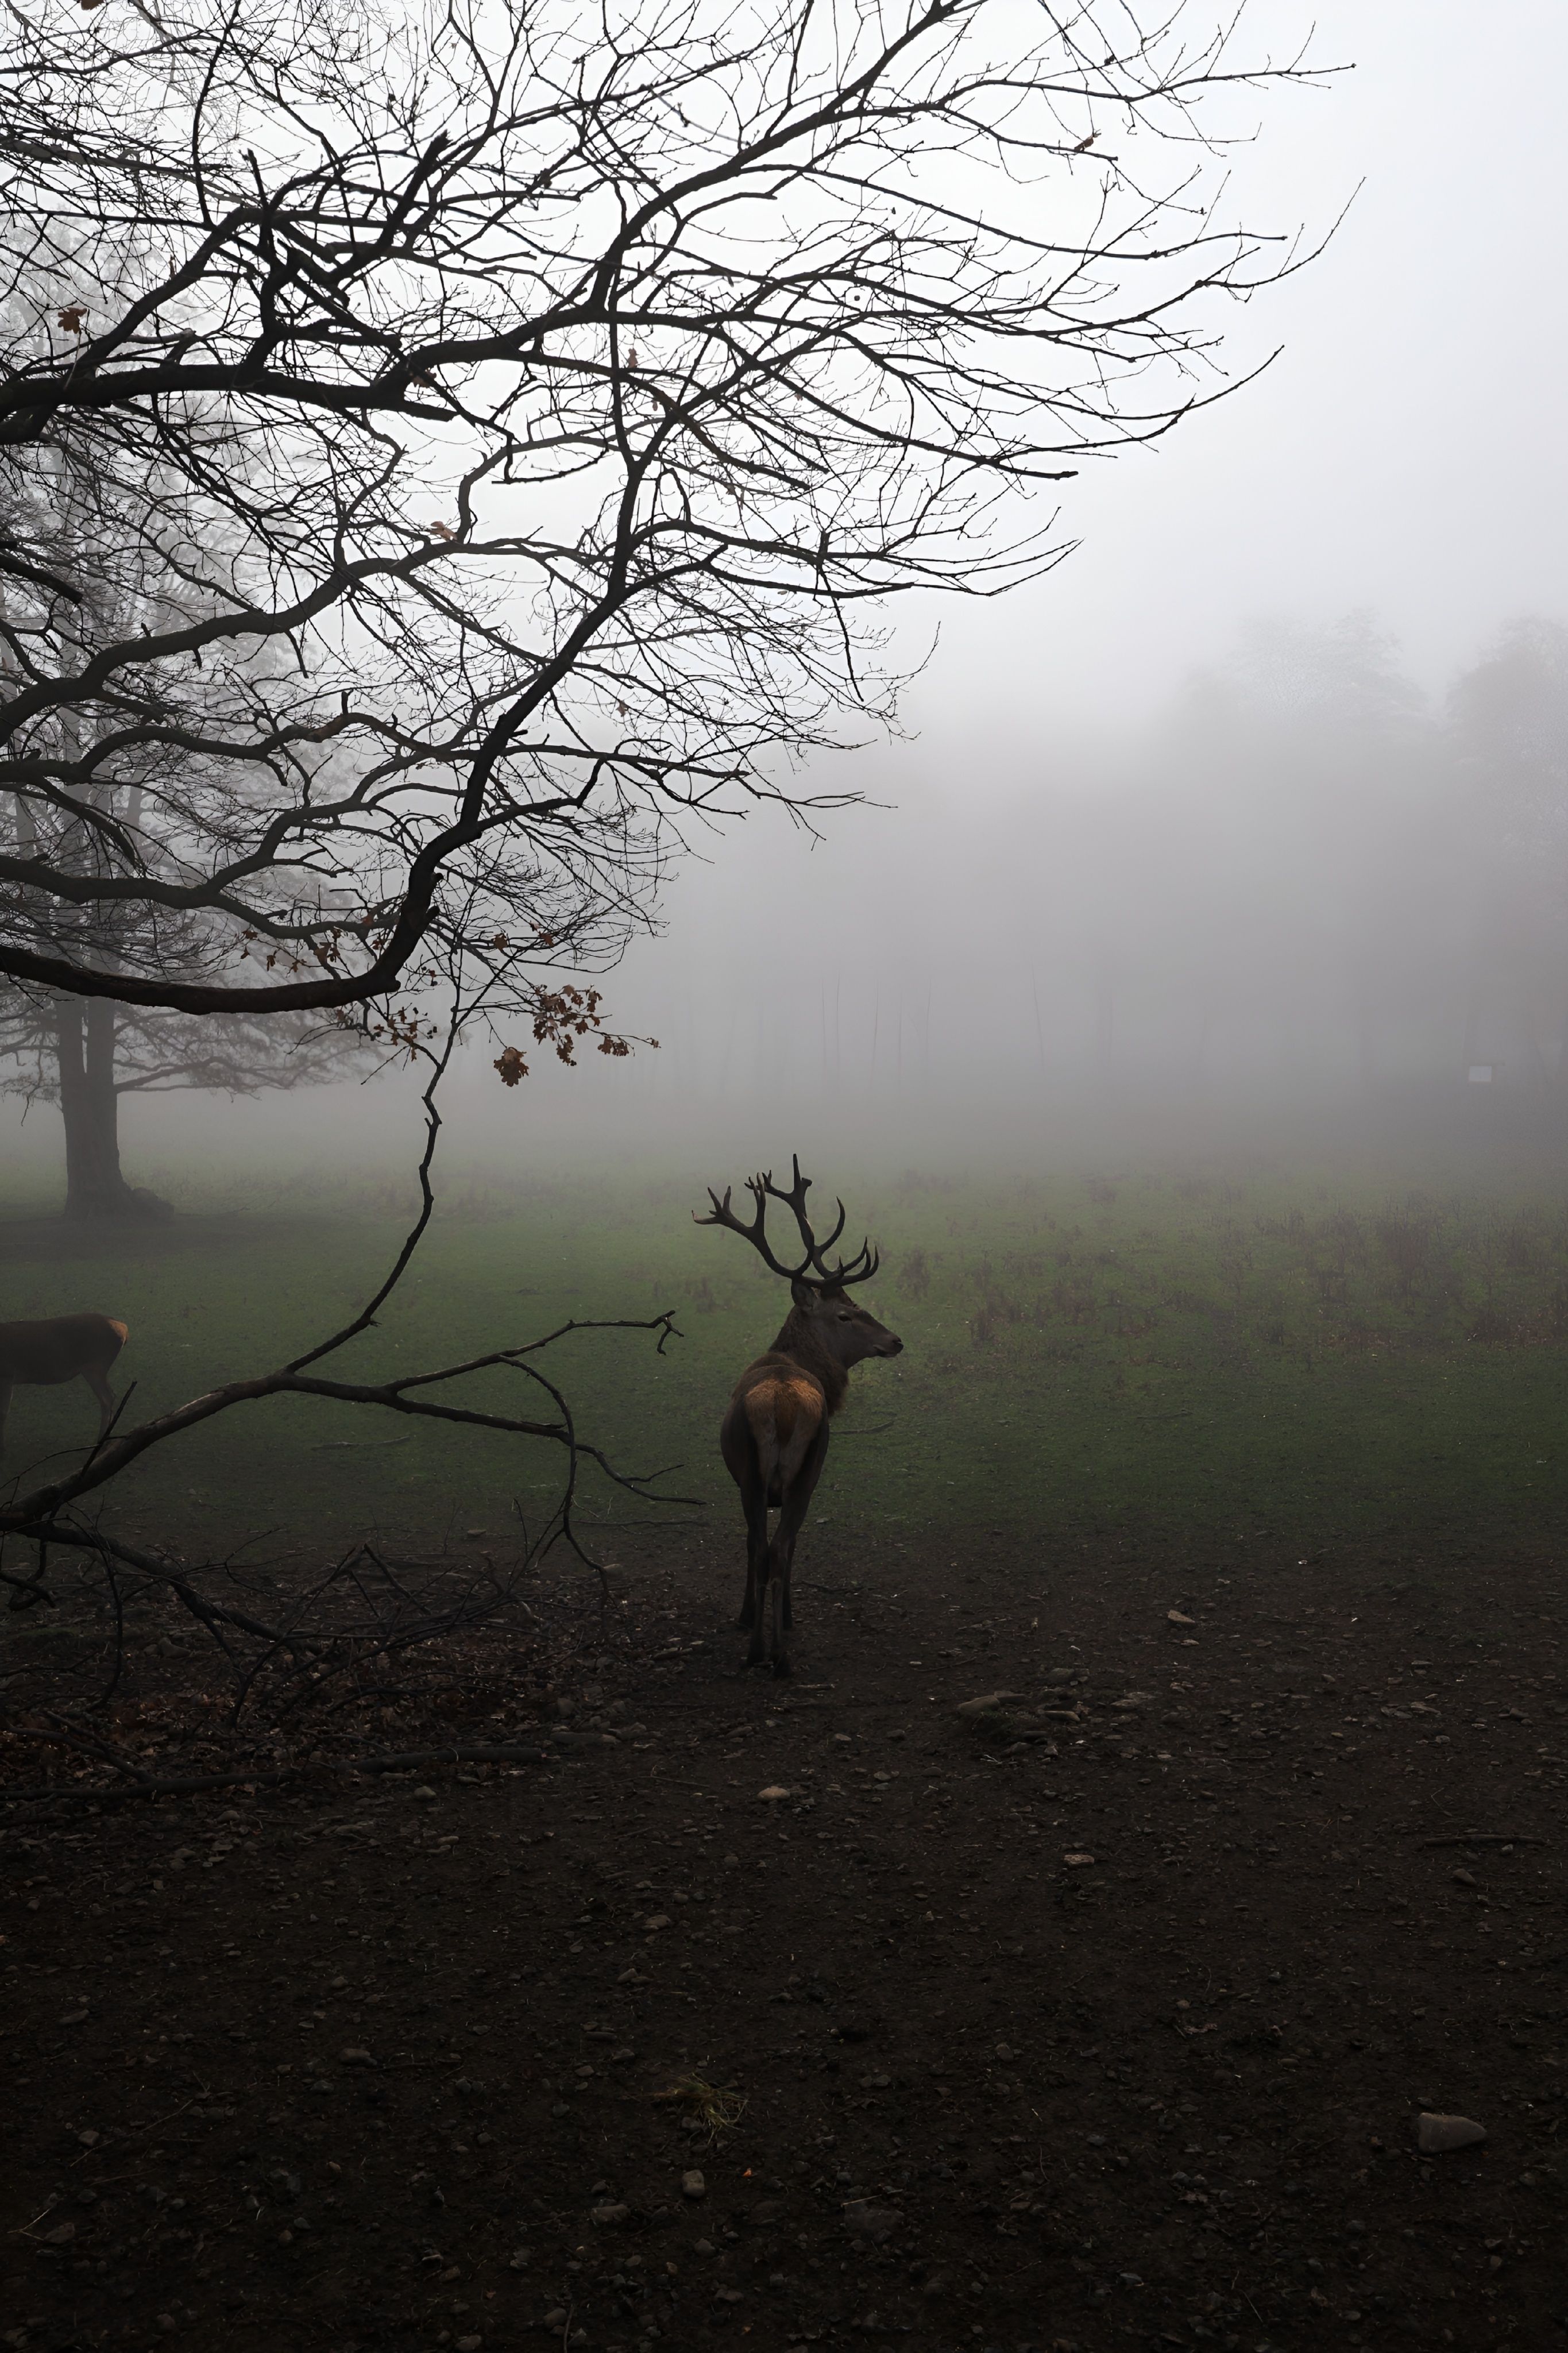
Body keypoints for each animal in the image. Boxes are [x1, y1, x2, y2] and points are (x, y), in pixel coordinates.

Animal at [0, 1314, 130, 1459]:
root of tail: (124, 1330)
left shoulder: (7, 1374)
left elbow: (3, 1412)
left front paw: (2, 1448)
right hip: (98, 1368)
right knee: (111, 1395)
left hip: (95, 1365)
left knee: (107, 1398)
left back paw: (100, 1441)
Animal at [696, 1157, 902, 1677]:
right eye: (846, 1315)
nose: (896, 1341)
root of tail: (784, 1408)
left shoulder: (747, 1481)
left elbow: (756, 1547)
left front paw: (750, 1618)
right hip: (804, 1473)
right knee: (779, 1548)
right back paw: (777, 1652)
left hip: (766, 1476)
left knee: (769, 1549)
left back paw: (764, 1651)